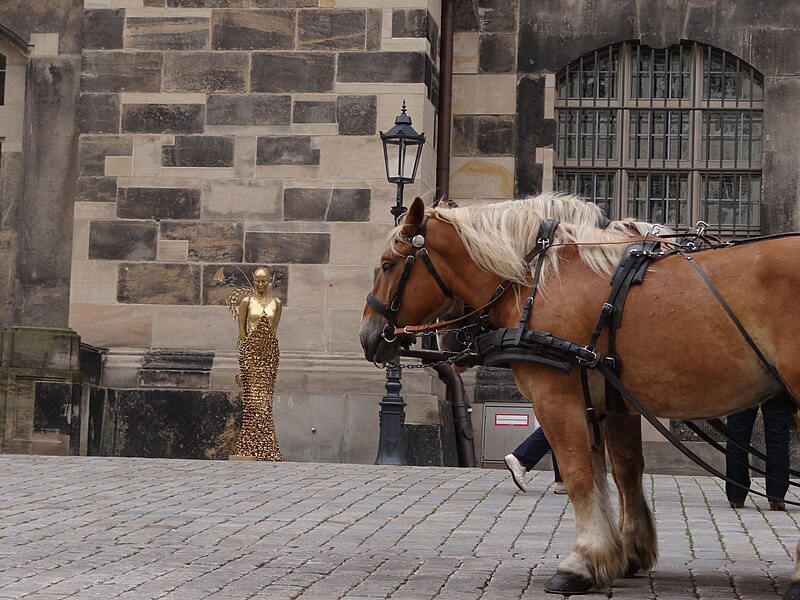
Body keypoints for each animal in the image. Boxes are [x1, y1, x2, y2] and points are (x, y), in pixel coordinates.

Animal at [360, 195, 800, 596]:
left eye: (388, 264)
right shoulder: (612, 403)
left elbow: (578, 476)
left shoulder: (556, 398)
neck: (539, 281)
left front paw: (582, 562)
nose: (367, 336)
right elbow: (622, 473)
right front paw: (627, 553)